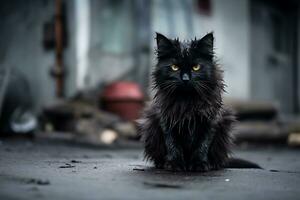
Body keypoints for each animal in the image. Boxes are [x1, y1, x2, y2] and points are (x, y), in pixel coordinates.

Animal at [138, 32, 258, 171]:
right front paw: (174, 164)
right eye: (174, 67)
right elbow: (172, 143)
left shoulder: (210, 120)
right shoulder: (166, 119)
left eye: (196, 67)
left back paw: (213, 164)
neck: (187, 101)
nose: (185, 79)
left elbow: (203, 145)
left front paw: (199, 164)